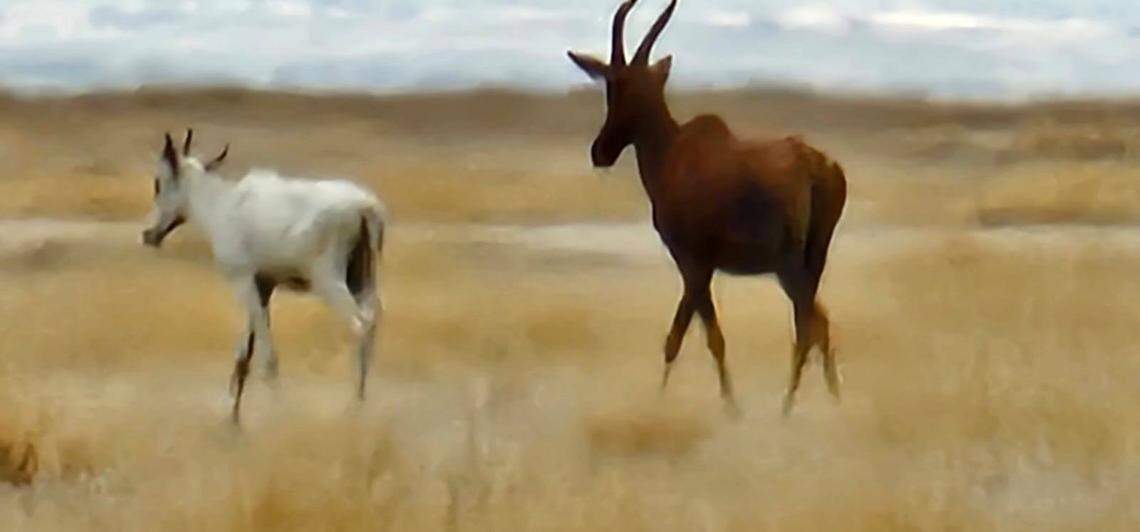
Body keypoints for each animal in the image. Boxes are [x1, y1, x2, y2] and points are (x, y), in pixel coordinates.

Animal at [142, 130, 387, 423]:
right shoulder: (264, 285)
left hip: (329, 281)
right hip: (362, 279)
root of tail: (366, 209)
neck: (222, 205)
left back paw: (354, 405)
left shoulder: (243, 281)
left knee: (359, 324)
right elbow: (245, 354)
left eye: (158, 182)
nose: (148, 234)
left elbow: (266, 357)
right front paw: (234, 417)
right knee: (373, 319)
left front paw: (275, 412)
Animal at [567, 0, 847, 416]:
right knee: (818, 323)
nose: (600, 151)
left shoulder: (693, 261)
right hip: (811, 261)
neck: (676, 151)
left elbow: (690, 335)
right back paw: (826, 402)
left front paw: (718, 407)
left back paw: (787, 410)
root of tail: (814, 165)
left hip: (787, 265)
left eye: (616, 86)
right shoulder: (703, 266)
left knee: (807, 324)